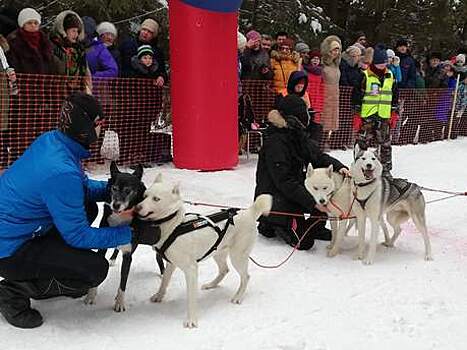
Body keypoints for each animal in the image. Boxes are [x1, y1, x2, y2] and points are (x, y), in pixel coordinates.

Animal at [135, 175, 272, 328]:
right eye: (145, 196)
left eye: (156, 199)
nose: (137, 207)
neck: (174, 226)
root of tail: (249, 212)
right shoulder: (171, 264)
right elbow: (164, 281)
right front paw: (159, 296)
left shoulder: (191, 269)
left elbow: (191, 298)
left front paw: (191, 320)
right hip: (217, 252)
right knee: (224, 270)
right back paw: (211, 285)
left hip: (237, 256)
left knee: (245, 277)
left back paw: (238, 296)